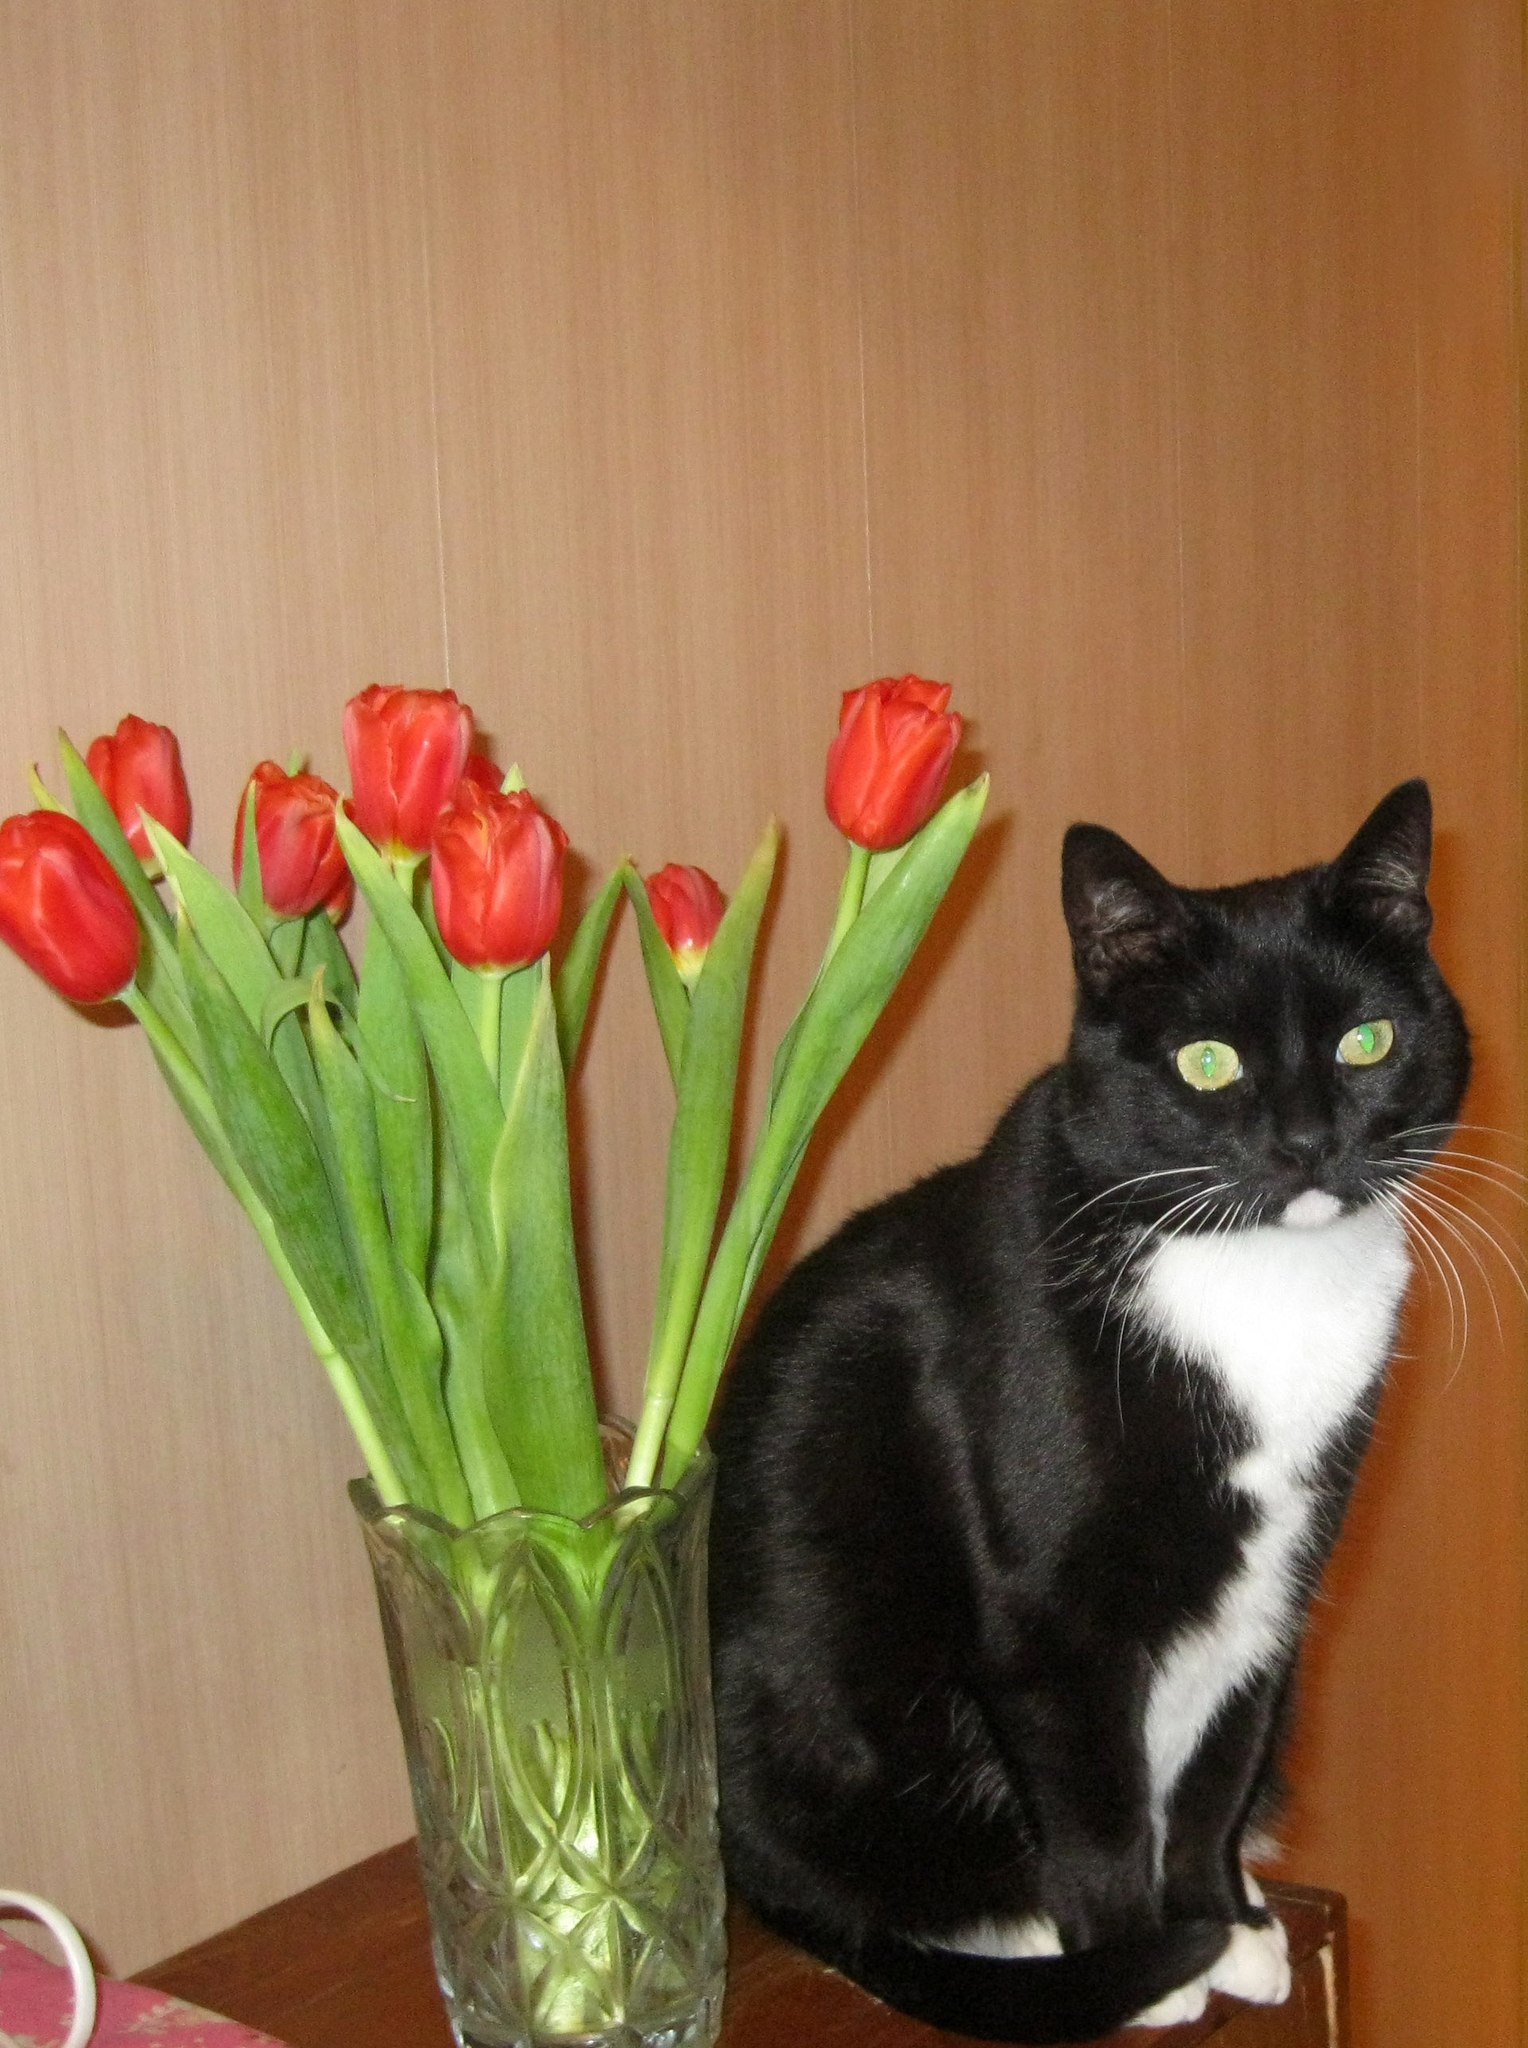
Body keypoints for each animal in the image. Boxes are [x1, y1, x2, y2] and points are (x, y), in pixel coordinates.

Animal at [708, 781, 1470, 2043]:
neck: (1256, 1274)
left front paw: (1220, 1918)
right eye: (1207, 1061)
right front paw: (1146, 1960)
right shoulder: (1051, 1626)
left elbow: (1216, 1765)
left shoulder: (1273, 1586)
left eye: (1367, 1040)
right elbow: (1098, 1800)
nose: (1308, 1142)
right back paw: (1022, 1925)